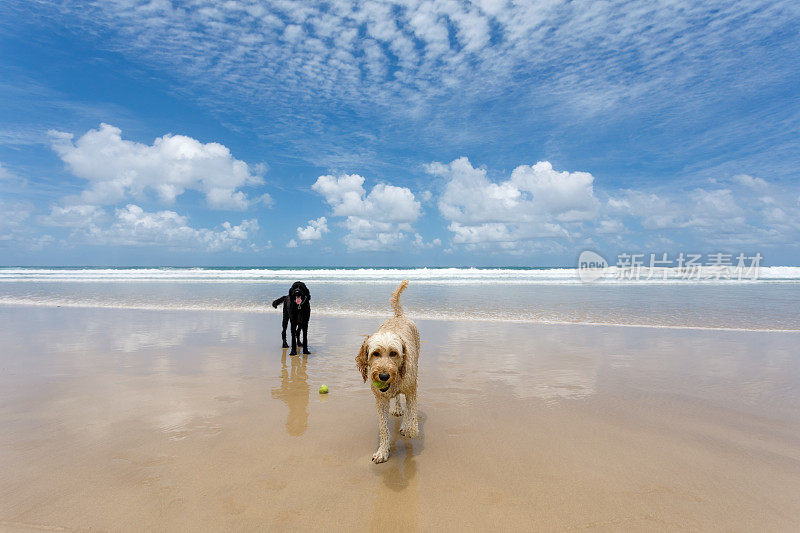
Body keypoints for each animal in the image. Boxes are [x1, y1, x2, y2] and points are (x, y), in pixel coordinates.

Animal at [354, 280, 418, 464]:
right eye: (375, 353)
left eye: (393, 353)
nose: (383, 376)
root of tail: (398, 316)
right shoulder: (380, 400)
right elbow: (383, 427)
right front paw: (383, 451)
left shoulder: (412, 389)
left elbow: (412, 415)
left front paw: (408, 427)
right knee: (397, 398)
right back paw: (397, 408)